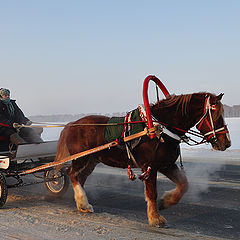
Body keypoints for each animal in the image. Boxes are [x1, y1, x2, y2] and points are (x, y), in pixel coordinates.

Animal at [54, 92, 231, 227]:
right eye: (216, 115)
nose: (227, 143)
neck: (159, 128)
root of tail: (71, 124)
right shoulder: (150, 166)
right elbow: (152, 193)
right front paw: (155, 219)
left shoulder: (167, 165)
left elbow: (183, 184)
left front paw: (166, 201)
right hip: (81, 159)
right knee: (71, 174)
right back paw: (82, 201)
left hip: (91, 160)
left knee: (80, 177)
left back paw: (82, 203)